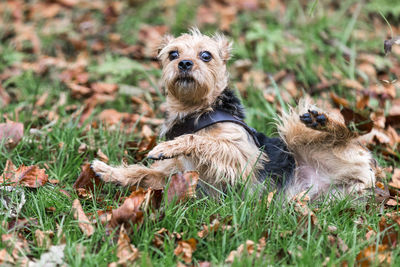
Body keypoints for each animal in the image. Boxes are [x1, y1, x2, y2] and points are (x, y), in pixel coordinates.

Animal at [92, 28, 376, 201]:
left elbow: (202, 140)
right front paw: (110, 172)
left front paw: (169, 146)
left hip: (294, 131)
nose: (184, 63)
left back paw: (322, 122)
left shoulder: (244, 159)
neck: (196, 112)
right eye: (173, 54)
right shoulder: (175, 175)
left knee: (345, 133)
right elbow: (142, 173)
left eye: (206, 55)